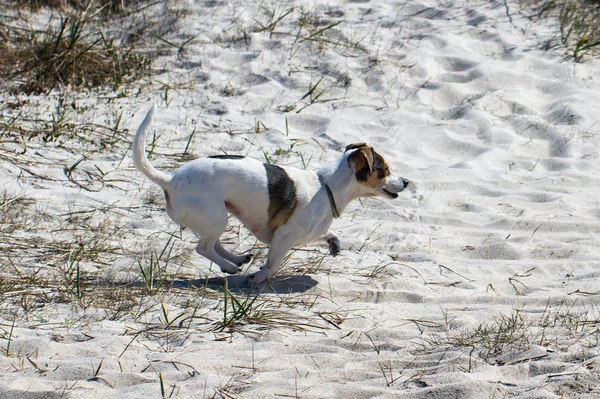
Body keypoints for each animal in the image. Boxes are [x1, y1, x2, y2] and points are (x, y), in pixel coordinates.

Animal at [134, 104, 410, 284]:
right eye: (385, 169)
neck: (328, 186)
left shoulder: (308, 234)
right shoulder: (283, 239)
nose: (406, 181)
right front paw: (260, 277)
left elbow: (328, 234)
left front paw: (334, 244)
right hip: (216, 216)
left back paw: (235, 259)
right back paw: (230, 266)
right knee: (203, 247)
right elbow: (273, 264)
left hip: (214, 218)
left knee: (213, 244)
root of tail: (170, 181)